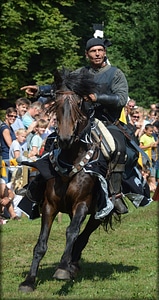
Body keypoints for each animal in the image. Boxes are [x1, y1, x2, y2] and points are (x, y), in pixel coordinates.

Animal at [18, 68, 120, 292]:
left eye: (78, 103)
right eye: (56, 103)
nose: (64, 138)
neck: (71, 159)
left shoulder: (82, 204)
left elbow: (72, 232)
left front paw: (63, 268)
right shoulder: (49, 206)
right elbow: (41, 243)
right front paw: (29, 280)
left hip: (99, 212)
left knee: (83, 236)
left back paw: (71, 264)